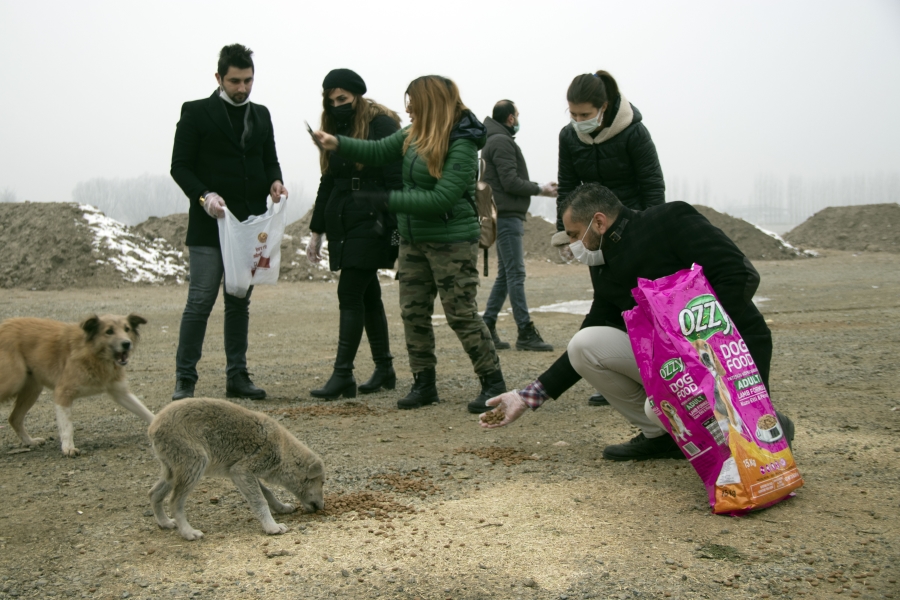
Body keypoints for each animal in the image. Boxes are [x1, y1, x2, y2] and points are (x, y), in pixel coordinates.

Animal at [0, 314, 154, 454]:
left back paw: (30, 441)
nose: (127, 343)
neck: (95, 354)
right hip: (14, 380)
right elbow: (67, 426)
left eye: (127, 329)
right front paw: (68, 448)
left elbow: (145, 411)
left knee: (14, 418)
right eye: (109, 331)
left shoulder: (119, 392)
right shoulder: (62, 393)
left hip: (32, 389)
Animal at [149, 396, 326, 540]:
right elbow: (260, 500)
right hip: (195, 464)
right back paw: (188, 532)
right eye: (323, 483)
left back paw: (164, 522)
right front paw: (272, 527)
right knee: (174, 502)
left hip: (174, 471)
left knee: (154, 494)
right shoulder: (242, 471)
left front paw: (281, 508)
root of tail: (153, 427)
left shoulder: (239, 473)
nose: (323, 507)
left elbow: (267, 493)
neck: (283, 451)